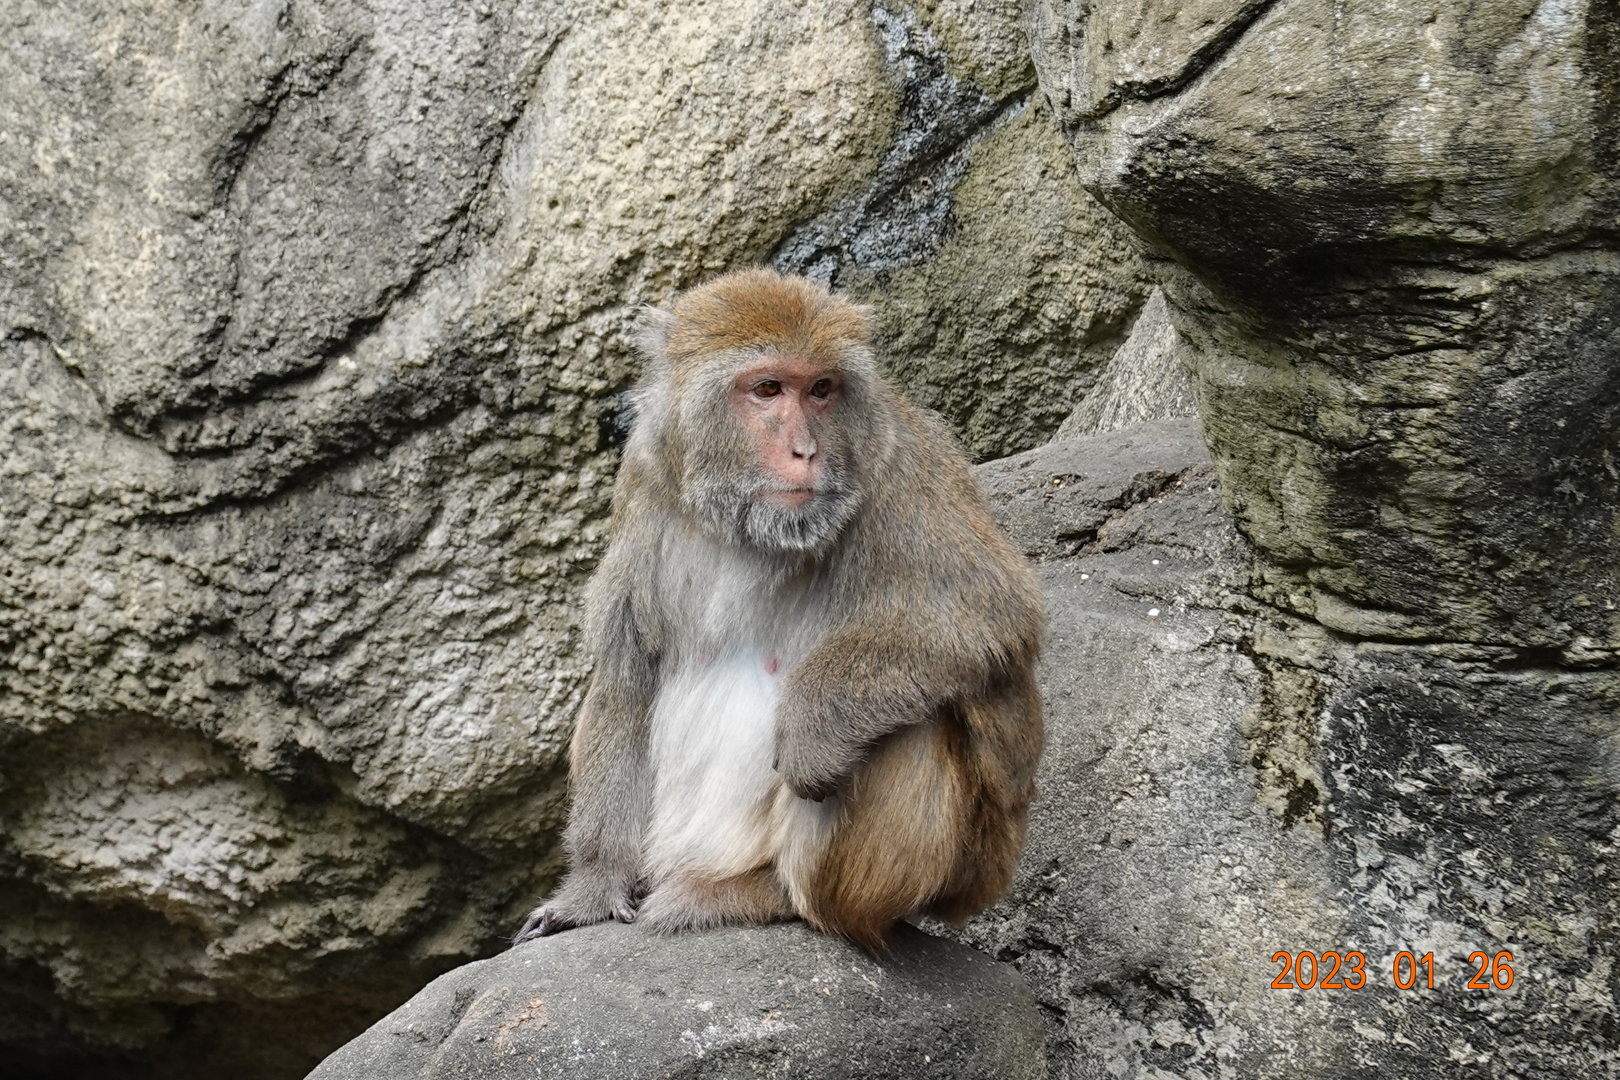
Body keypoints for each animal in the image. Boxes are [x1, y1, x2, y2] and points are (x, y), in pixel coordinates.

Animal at [516, 267, 1044, 952]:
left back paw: (778, 895)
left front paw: (813, 726)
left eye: (821, 390)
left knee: (916, 720)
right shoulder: (646, 479)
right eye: (768, 389)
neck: (747, 526)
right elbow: (628, 675)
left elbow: (988, 612)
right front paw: (593, 887)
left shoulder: (896, 465)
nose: (805, 450)